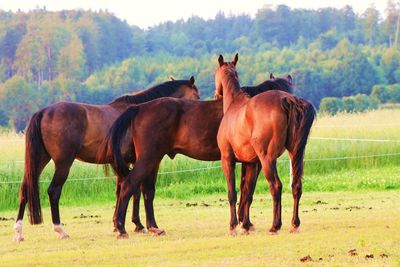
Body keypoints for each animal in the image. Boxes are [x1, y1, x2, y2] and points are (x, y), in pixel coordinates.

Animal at [12, 76, 200, 242]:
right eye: (197, 96)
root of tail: (43, 112)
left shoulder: (121, 163)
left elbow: (121, 190)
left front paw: (118, 225)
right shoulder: (138, 162)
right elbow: (136, 190)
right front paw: (138, 225)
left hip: (39, 160)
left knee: (25, 189)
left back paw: (18, 232)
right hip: (63, 163)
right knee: (54, 191)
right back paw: (60, 230)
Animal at [101, 75, 296, 239]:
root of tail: (139, 108)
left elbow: (245, 190)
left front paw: (244, 223)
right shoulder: (254, 162)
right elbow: (248, 191)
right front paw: (244, 224)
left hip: (153, 160)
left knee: (147, 191)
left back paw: (153, 227)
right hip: (148, 159)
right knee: (128, 186)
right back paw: (121, 228)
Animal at [216, 54, 316, 237]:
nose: (217, 94)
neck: (235, 105)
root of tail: (288, 100)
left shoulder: (227, 159)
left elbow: (233, 193)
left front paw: (234, 226)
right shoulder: (252, 163)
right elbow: (248, 193)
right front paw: (245, 225)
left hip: (268, 159)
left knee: (276, 186)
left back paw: (274, 226)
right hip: (295, 154)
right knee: (296, 185)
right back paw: (294, 224)